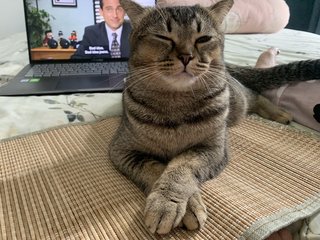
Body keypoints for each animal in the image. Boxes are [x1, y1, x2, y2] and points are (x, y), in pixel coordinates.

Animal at [109, 0, 320, 234]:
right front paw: (179, 205)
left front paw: (171, 203)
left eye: (203, 39)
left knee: (253, 94)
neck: (176, 104)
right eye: (163, 37)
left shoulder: (213, 148)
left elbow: (181, 167)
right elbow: (156, 169)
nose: (186, 56)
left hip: (237, 101)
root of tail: (227, 68)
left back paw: (279, 112)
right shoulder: (122, 150)